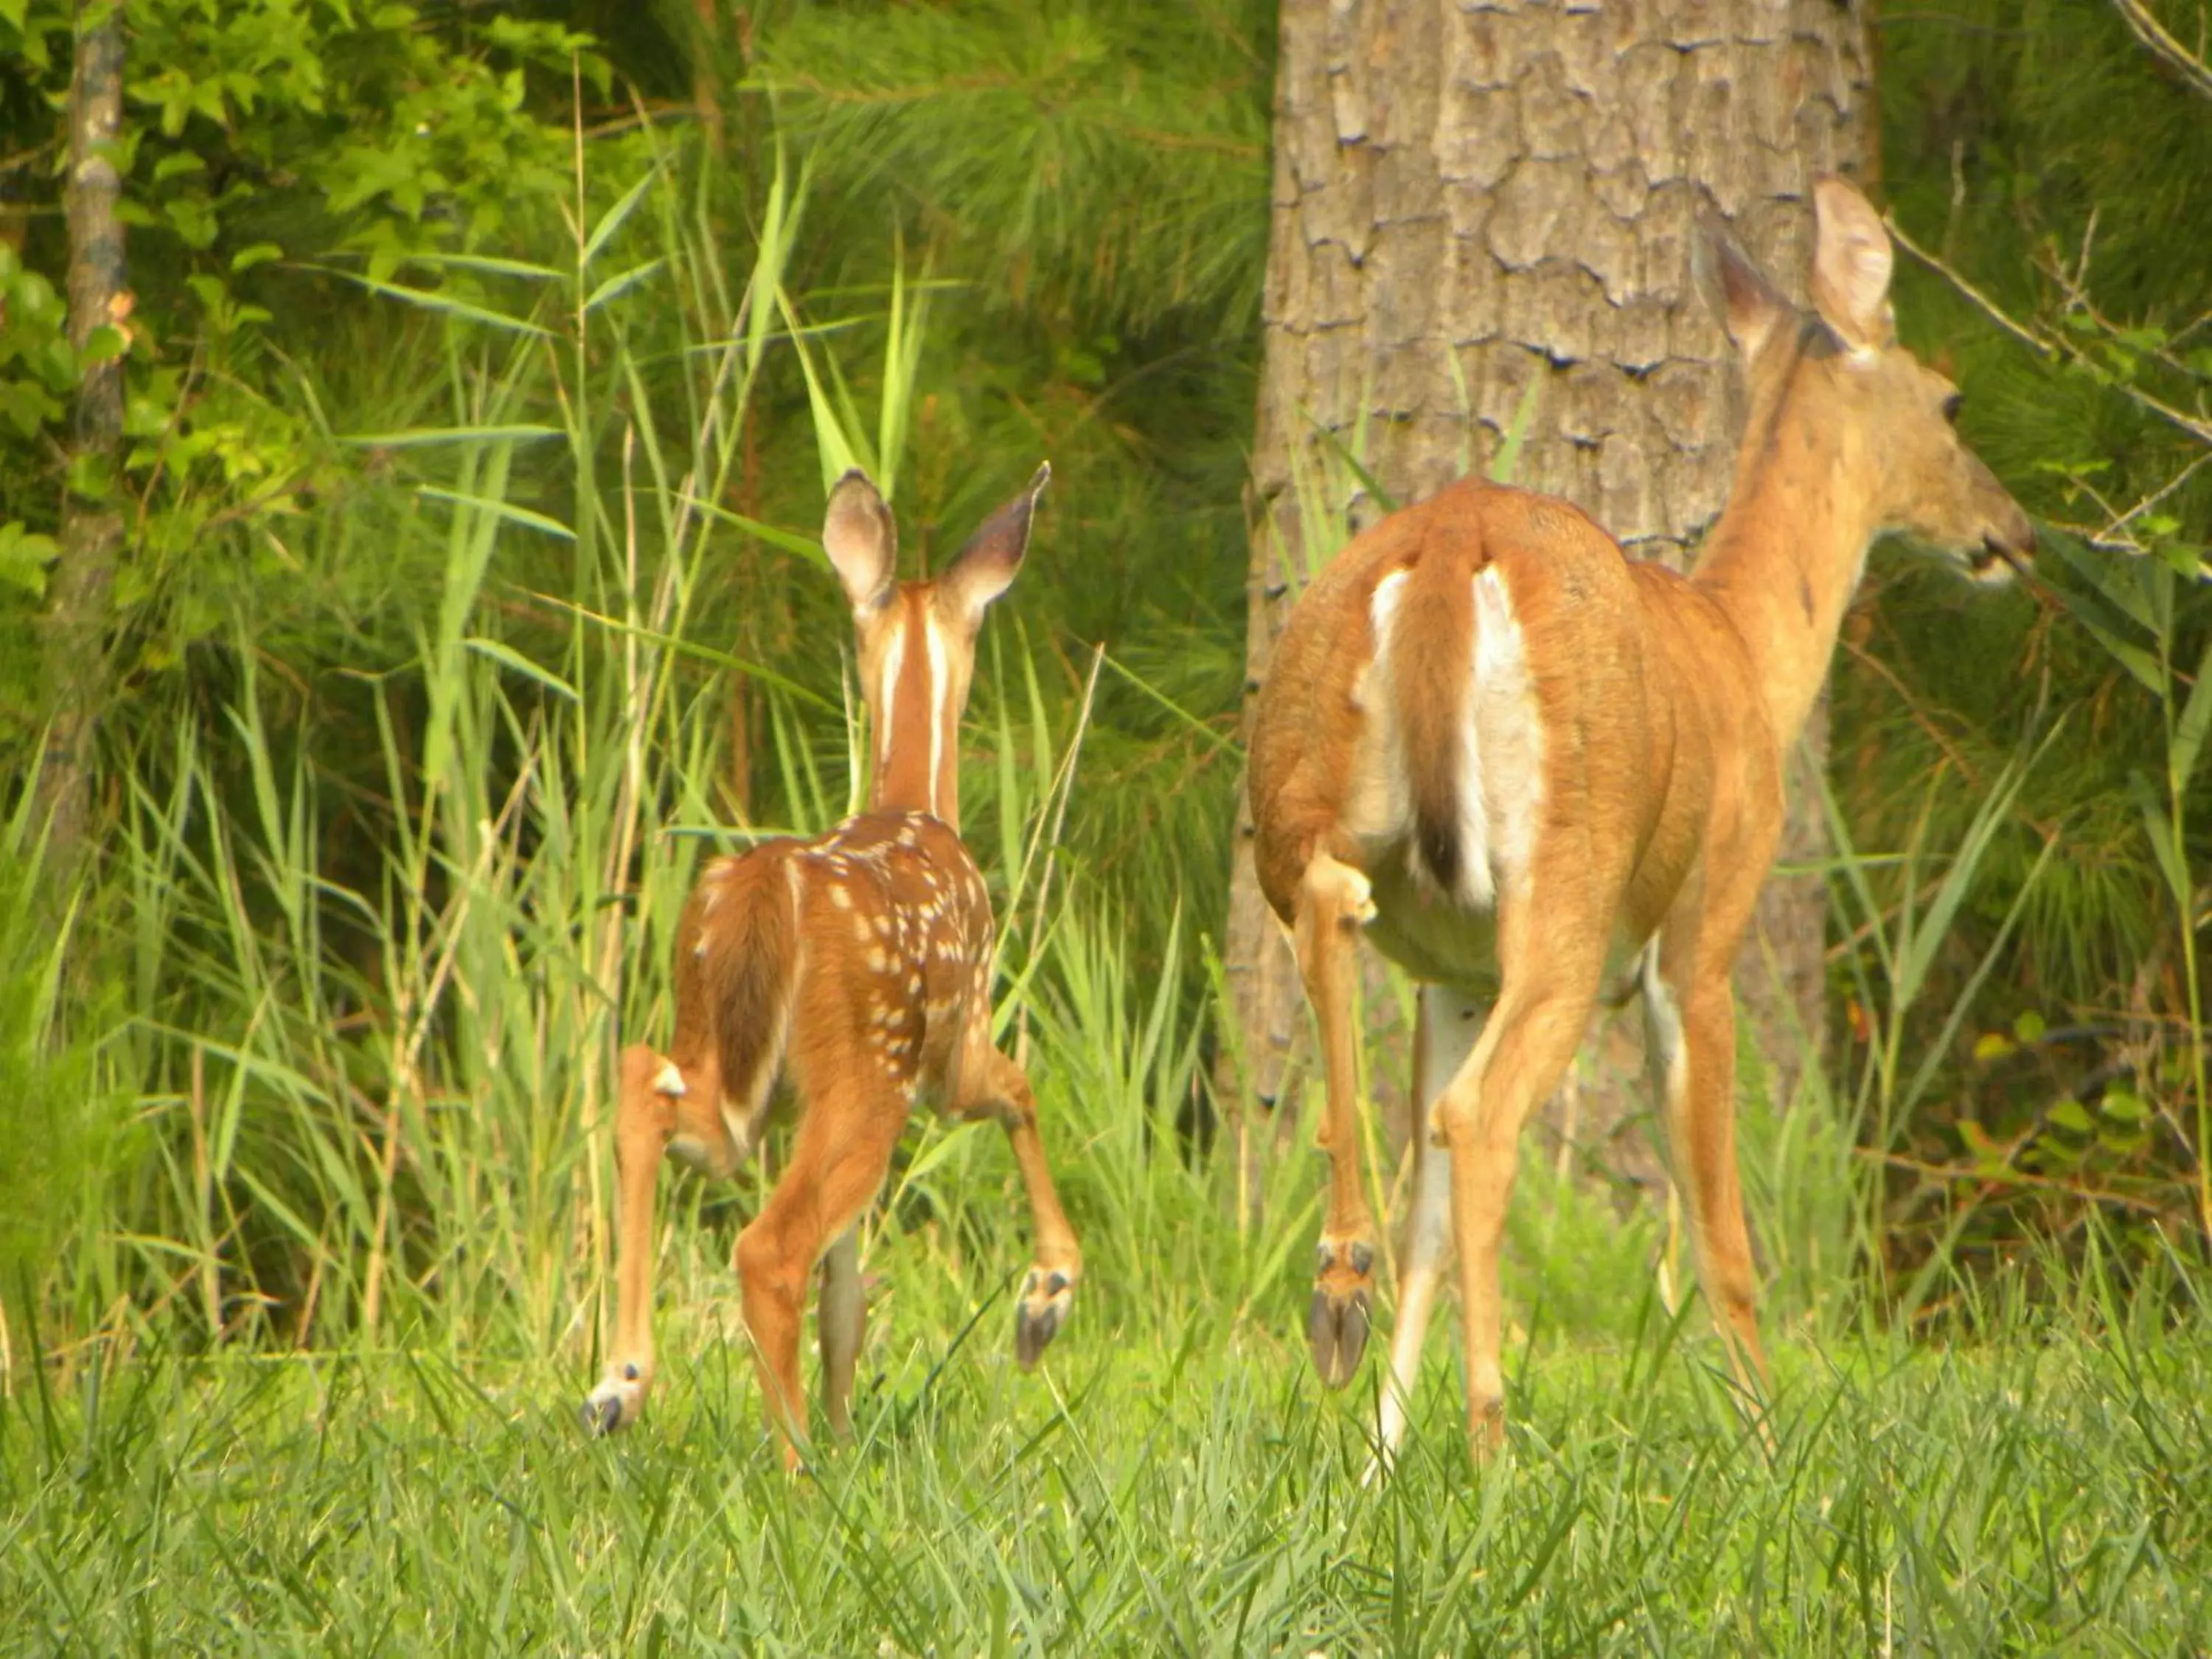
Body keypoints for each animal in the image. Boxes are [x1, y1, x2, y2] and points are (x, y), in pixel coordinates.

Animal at [584, 465, 1075, 1451]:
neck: (915, 805)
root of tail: (763, 885)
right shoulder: (954, 1046)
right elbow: (1020, 1091)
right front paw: (1044, 1301)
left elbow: (846, 1298)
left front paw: (852, 1430)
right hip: (868, 1068)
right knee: (770, 1248)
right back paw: (795, 1461)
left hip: (733, 1058)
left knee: (645, 1084)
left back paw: (620, 1384)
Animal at [1256, 175, 2026, 1460]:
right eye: (1951, 401)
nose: (2011, 533)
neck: (1746, 654)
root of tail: (1452, 544)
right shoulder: (1704, 934)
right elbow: (1723, 1239)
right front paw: (1770, 1450)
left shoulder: (1455, 973)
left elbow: (1429, 1216)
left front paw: (1379, 1462)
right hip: (1569, 867)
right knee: (1484, 1116)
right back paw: (1494, 1441)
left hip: (1302, 789)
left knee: (1344, 944)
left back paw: (1339, 1289)